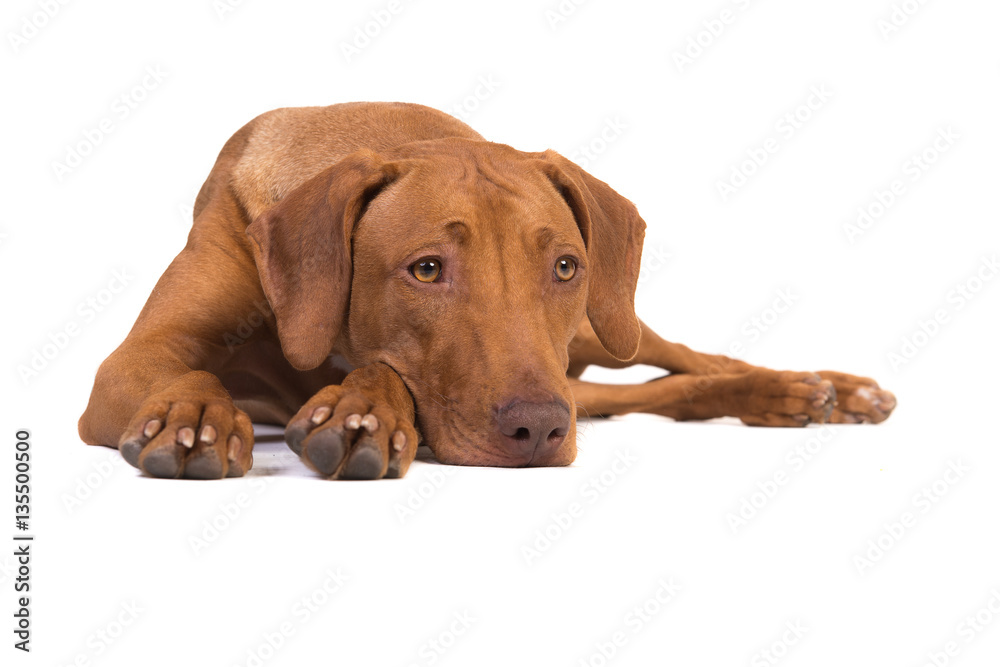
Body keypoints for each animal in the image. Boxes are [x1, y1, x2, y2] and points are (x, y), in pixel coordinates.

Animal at [78, 102, 900, 480]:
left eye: (565, 267)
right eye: (425, 269)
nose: (539, 429)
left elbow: (382, 371)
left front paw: (362, 410)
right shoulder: (130, 362)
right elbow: (182, 368)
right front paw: (196, 414)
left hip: (603, 331)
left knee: (690, 357)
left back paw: (813, 388)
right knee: (649, 391)